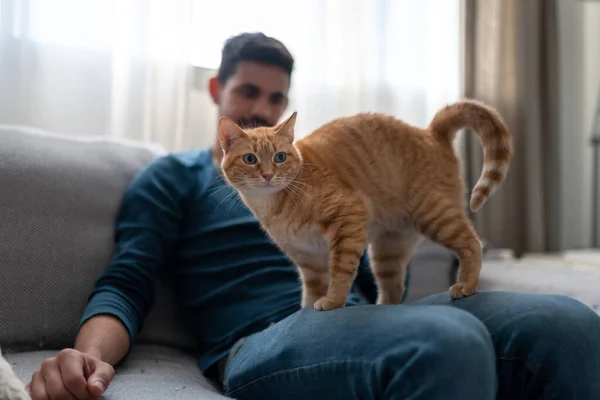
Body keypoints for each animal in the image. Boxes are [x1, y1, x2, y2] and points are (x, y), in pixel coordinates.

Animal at [216, 98, 510, 310]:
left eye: (279, 157)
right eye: (250, 159)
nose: (268, 175)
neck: (276, 205)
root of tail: (430, 131)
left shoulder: (348, 218)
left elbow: (341, 272)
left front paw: (333, 301)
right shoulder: (308, 260)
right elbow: (311, 291)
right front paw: (306, 311)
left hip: (434, 214)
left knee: (471, 243)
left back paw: (467, 284)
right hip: (388, 250)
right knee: (394, 288)